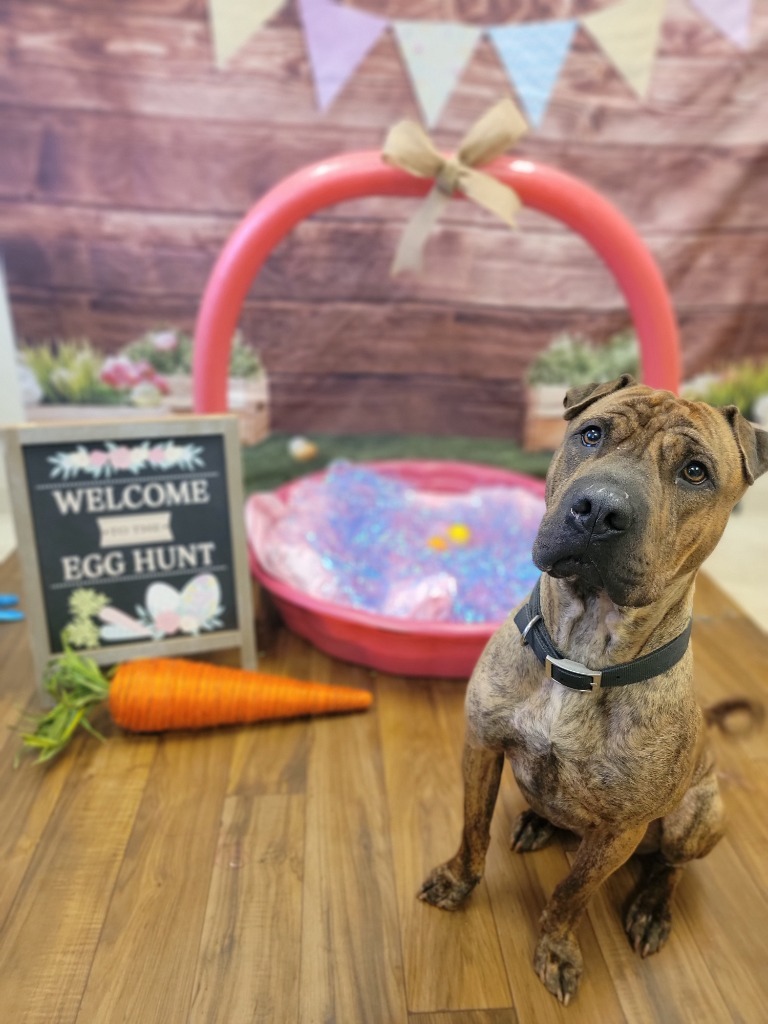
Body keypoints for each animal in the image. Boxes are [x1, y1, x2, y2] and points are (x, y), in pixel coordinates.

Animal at [421, 374, 768, 999]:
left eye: (696, 472)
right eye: (592, 434)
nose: (600, 508)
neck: (580, 655)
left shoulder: (618, 833)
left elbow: (572, 893)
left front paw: (557, 948)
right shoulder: (482, 748)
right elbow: (472, 830)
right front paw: (457, 881)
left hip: (696, 816)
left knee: (671, 866)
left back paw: (651, 908)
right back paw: (537, 822)